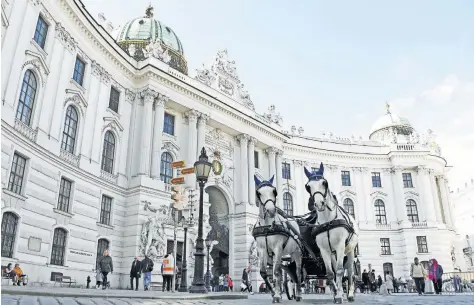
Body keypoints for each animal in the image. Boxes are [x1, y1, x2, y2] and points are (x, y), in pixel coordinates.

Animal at [304, 162, 360, 302]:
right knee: (335, 269)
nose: (319, 204)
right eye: (308, 186)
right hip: (333, 252)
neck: (327, 221)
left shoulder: (340, 246)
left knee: (350, 271)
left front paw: (340, 295)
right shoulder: (324, 250)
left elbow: (340, 271)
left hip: (350, 251)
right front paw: (336, 292)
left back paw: (350, 294)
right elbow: (330, 273)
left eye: (324, 183)